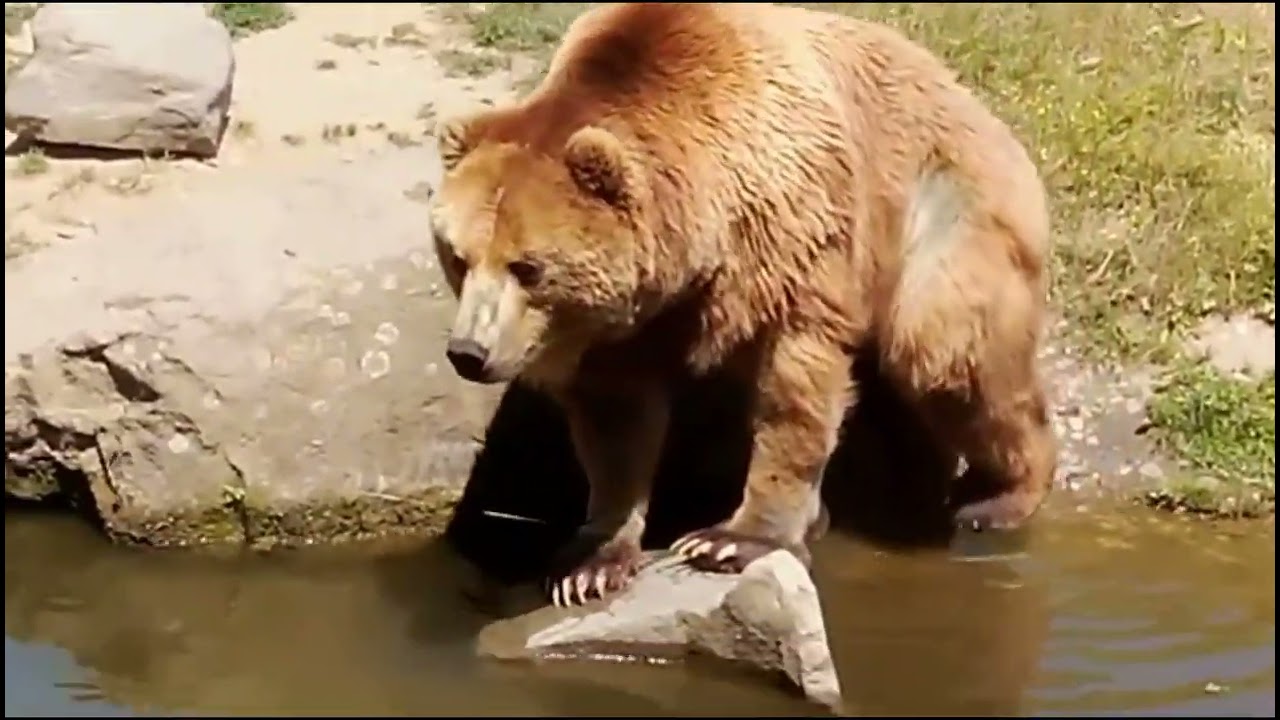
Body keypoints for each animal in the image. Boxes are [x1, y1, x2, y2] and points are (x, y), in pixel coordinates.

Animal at [428, 2, 1056, 608]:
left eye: (526, 267)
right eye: (458, 257)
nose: (469, 351)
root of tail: (988, 115)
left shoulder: (791, 233)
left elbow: (792, 392)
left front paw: (730, 540)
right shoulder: (619, 326)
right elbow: (615, 428)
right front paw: (590, 562)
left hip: (945, 215)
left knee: (947, 355)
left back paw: (996, 498)